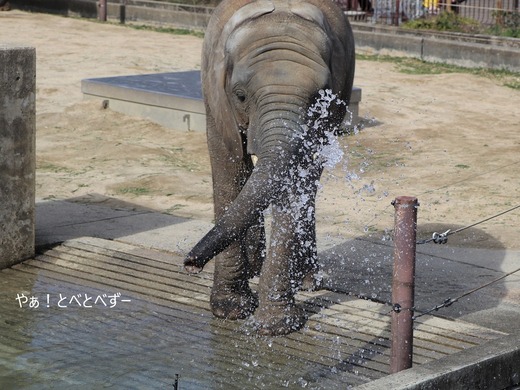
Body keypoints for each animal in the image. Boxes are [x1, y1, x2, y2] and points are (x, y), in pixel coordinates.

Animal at [184, 0, 358, 336]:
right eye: (240, 95)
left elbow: (296, 182)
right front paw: (230, 310)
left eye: (320, 98)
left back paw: (305, 281)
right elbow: (229, 169)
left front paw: (275, 326)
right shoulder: (215, 97)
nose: (190, 264)